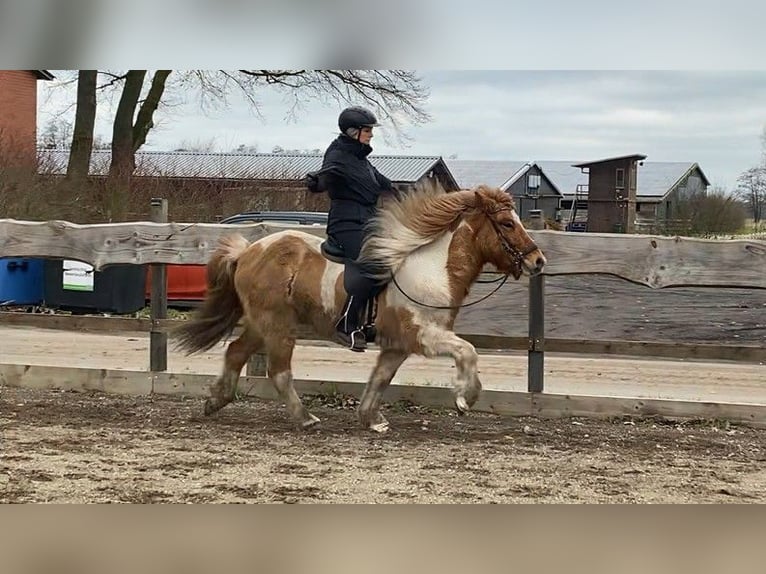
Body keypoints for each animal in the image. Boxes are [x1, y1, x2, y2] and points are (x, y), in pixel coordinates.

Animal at [174, 182, 544, 434]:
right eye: (507, 224)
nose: (538, 261)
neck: (432, 268)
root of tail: (249, 250)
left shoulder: (397, 346)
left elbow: (380, 378)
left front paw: (371, 418)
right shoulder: (424, 335)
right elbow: (468, 351)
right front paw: (465, 397)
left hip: (261, 324)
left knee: (236, 352)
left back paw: (214, 401)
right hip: (278, 326)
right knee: (279, 371)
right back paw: (304, 418)